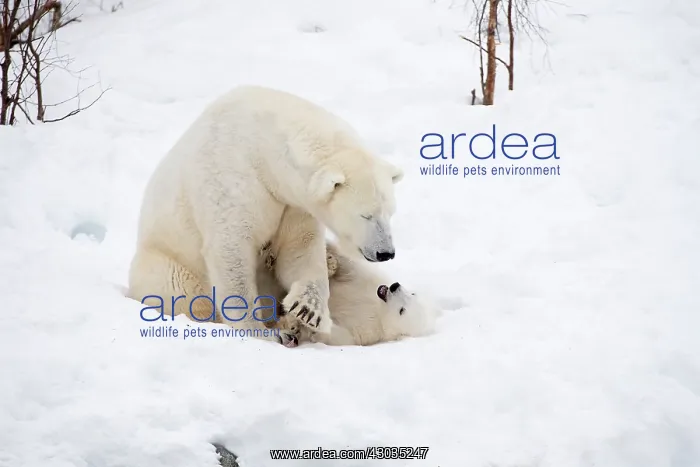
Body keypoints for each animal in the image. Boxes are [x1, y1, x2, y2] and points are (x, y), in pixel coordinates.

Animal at [127, 85, 404, 344]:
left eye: (390, 212)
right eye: (365, 215)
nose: (386, 253)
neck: (263, 147)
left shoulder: (292, 204)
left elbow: (299, 249)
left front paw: (308, 311)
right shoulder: (231, 178)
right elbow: (232, 251)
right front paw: (260, 332)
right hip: (168, 265)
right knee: (186, 296)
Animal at [258, 241, 438, 347]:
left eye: (402, 310)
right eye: (413, 293)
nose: (395, 286)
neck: (379, 310)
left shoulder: (368, 331)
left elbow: (340, 336)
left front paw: (301, 325)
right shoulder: (368, 282)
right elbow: (350, 268)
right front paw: (330, 260)